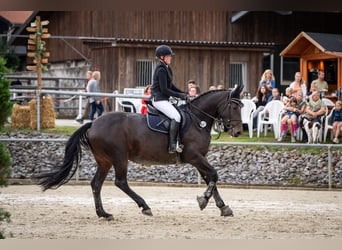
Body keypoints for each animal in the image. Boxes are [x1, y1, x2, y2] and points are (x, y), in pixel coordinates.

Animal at [34, 85, 243, 220]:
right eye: (234, 106)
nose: (238, 132)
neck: (198, 119)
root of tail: (93, 123)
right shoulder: (194, 157)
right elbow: (214, 175)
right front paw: (203, 200)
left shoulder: (200, 158)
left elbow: (210, 179)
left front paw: (223, 207)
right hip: (119, 157)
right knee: (120, 182)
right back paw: (145, 207)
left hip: (104, 160)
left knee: (96, 184)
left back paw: (104, 213)